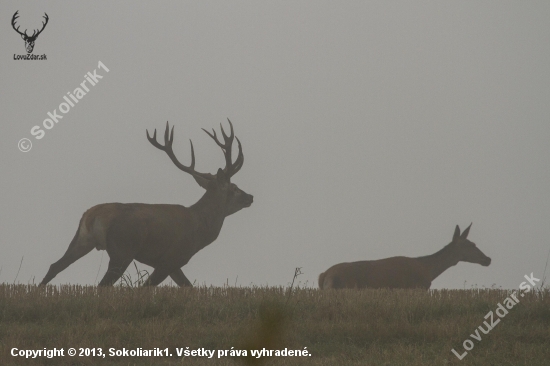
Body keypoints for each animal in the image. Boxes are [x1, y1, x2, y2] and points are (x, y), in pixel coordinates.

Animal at [41, 119, 254, 286]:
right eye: (234, 188)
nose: (250, 197)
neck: (200, 228)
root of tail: (93, 214)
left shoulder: (173, 264)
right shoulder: (172, 257)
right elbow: (145, 287)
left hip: (82, 240)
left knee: (54, 266)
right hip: (122, 249)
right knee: (101, 285)